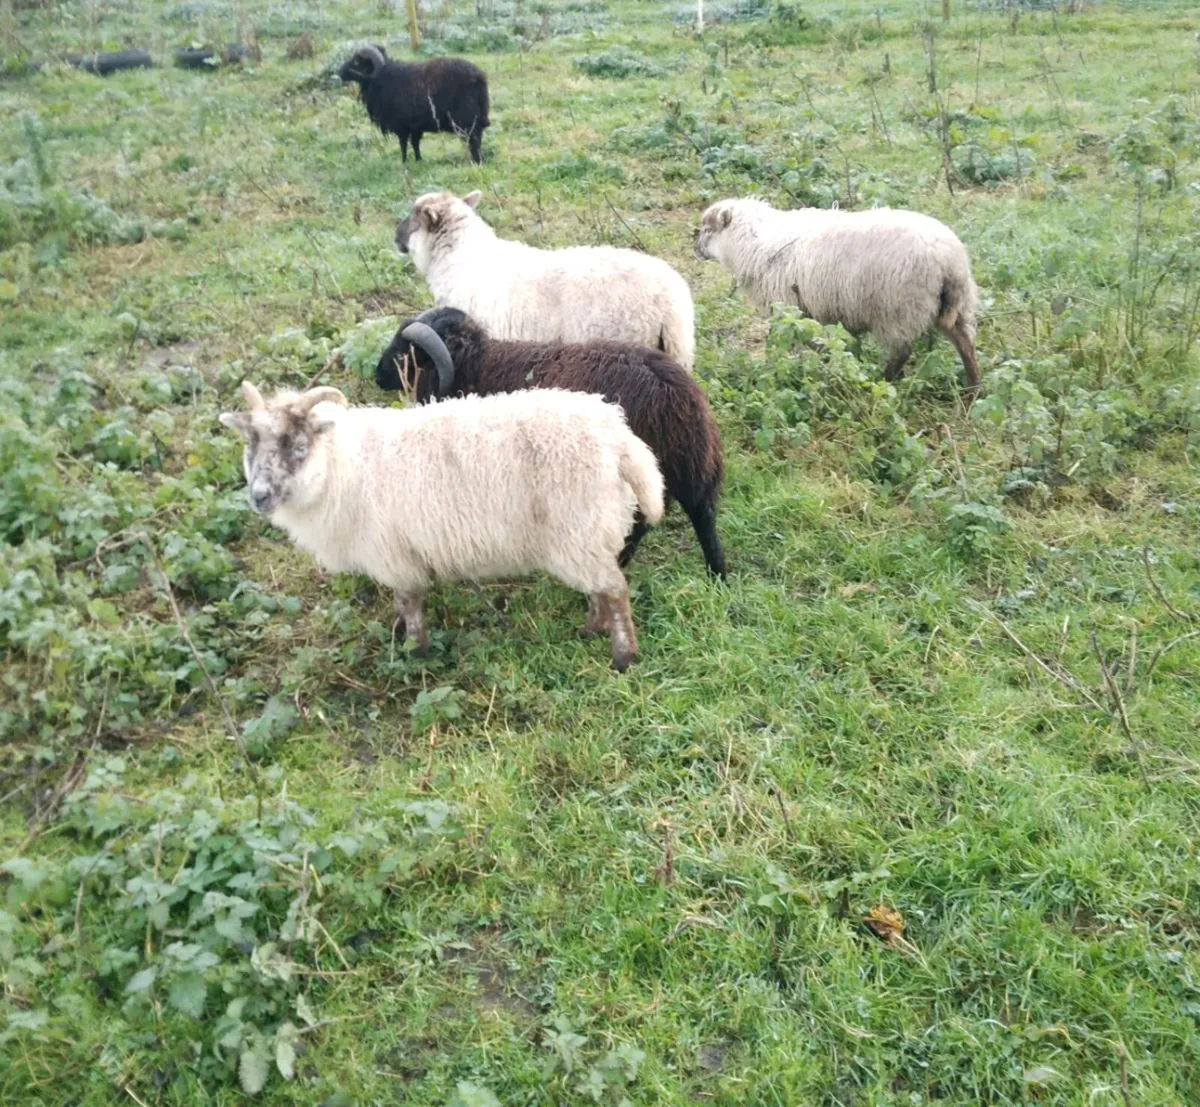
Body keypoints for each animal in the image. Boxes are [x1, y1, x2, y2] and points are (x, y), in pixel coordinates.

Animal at [219, 382, 664, 671]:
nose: (259, 497)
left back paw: (623, 656)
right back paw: (592, 628)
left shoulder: (395, 555)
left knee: (614, 589)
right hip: (586, 533)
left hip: (580, 528)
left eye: (297, 447)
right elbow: (401, 603)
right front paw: (399, 630)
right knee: (601, 588)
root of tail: (619, 438)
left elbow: (411, 603)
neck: (341, 466)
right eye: (250, 447)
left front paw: (415, 652)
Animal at [338, 45, 489, 164]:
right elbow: (415, 144)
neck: (382, 77)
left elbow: (403, 144)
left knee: (474, 139)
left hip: (467, 119)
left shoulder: (401, 125)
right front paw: (418, 160)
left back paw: (476, 160)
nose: (339, 71)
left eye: (356, 62)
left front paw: (404, 161)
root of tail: (478, 77)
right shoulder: (415, 126)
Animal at [375, 307, 728, 578]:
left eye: (405, 352)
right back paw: (718, 575)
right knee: (703, 514)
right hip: (691, 467)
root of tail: (676, 399)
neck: (476, 367)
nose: (377, 374)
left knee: (639, 525)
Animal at [695, 197, 982, 397]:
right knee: (966, 345)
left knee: (901, 352)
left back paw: (884, 381)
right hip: (954, 307)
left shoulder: (789, 307)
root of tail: (949, 260)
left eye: (707, 229)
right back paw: (973, 390)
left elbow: (795, 341)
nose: (694, 248)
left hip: (898, 309)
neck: (754, 243)